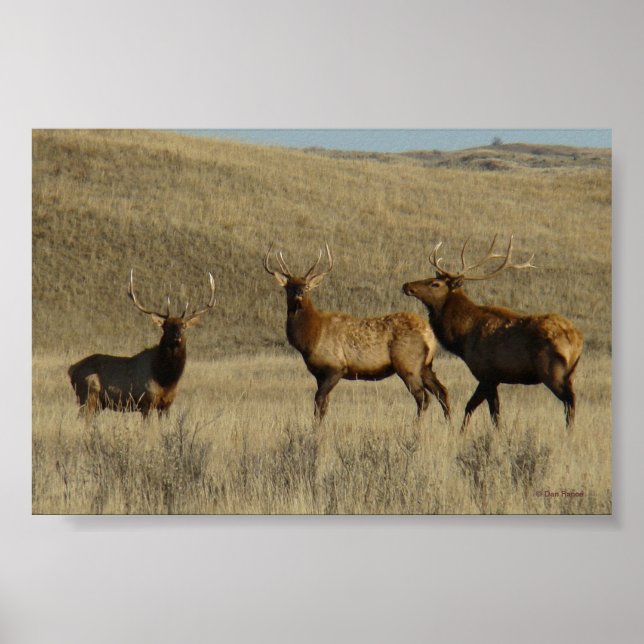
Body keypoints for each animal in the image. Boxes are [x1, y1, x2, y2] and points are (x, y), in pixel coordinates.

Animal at [68, 269, 215, 419]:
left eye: (184, 326)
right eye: (166, 326)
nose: (177, 337)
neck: (165, 379)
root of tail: (72, 369)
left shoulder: (167, 404)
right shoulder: (146, 402)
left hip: (98, 404)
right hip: (87, 396)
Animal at [264, 243, 450, 423]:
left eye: (307, 285)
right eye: (289, 286)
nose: (299, 292)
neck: (310, 339)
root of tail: (429, 334)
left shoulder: (336, 367)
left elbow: (318, 401)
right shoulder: (319, 374)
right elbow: (323, 407)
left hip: (407, 363)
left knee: (423, 398)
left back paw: (417, 428)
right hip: (425, 365)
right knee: (442, 392)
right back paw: (449, 424)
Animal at [402, 235, 583, 431]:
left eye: (435, 284)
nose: (407, 285)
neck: (463, 339)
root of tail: (577, 339)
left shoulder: (486, 373)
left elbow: (481, 409)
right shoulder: (494, 378)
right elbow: (488, 411)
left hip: (552, 371)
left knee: (570, 400)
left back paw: (570, 432)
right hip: (571, 373)